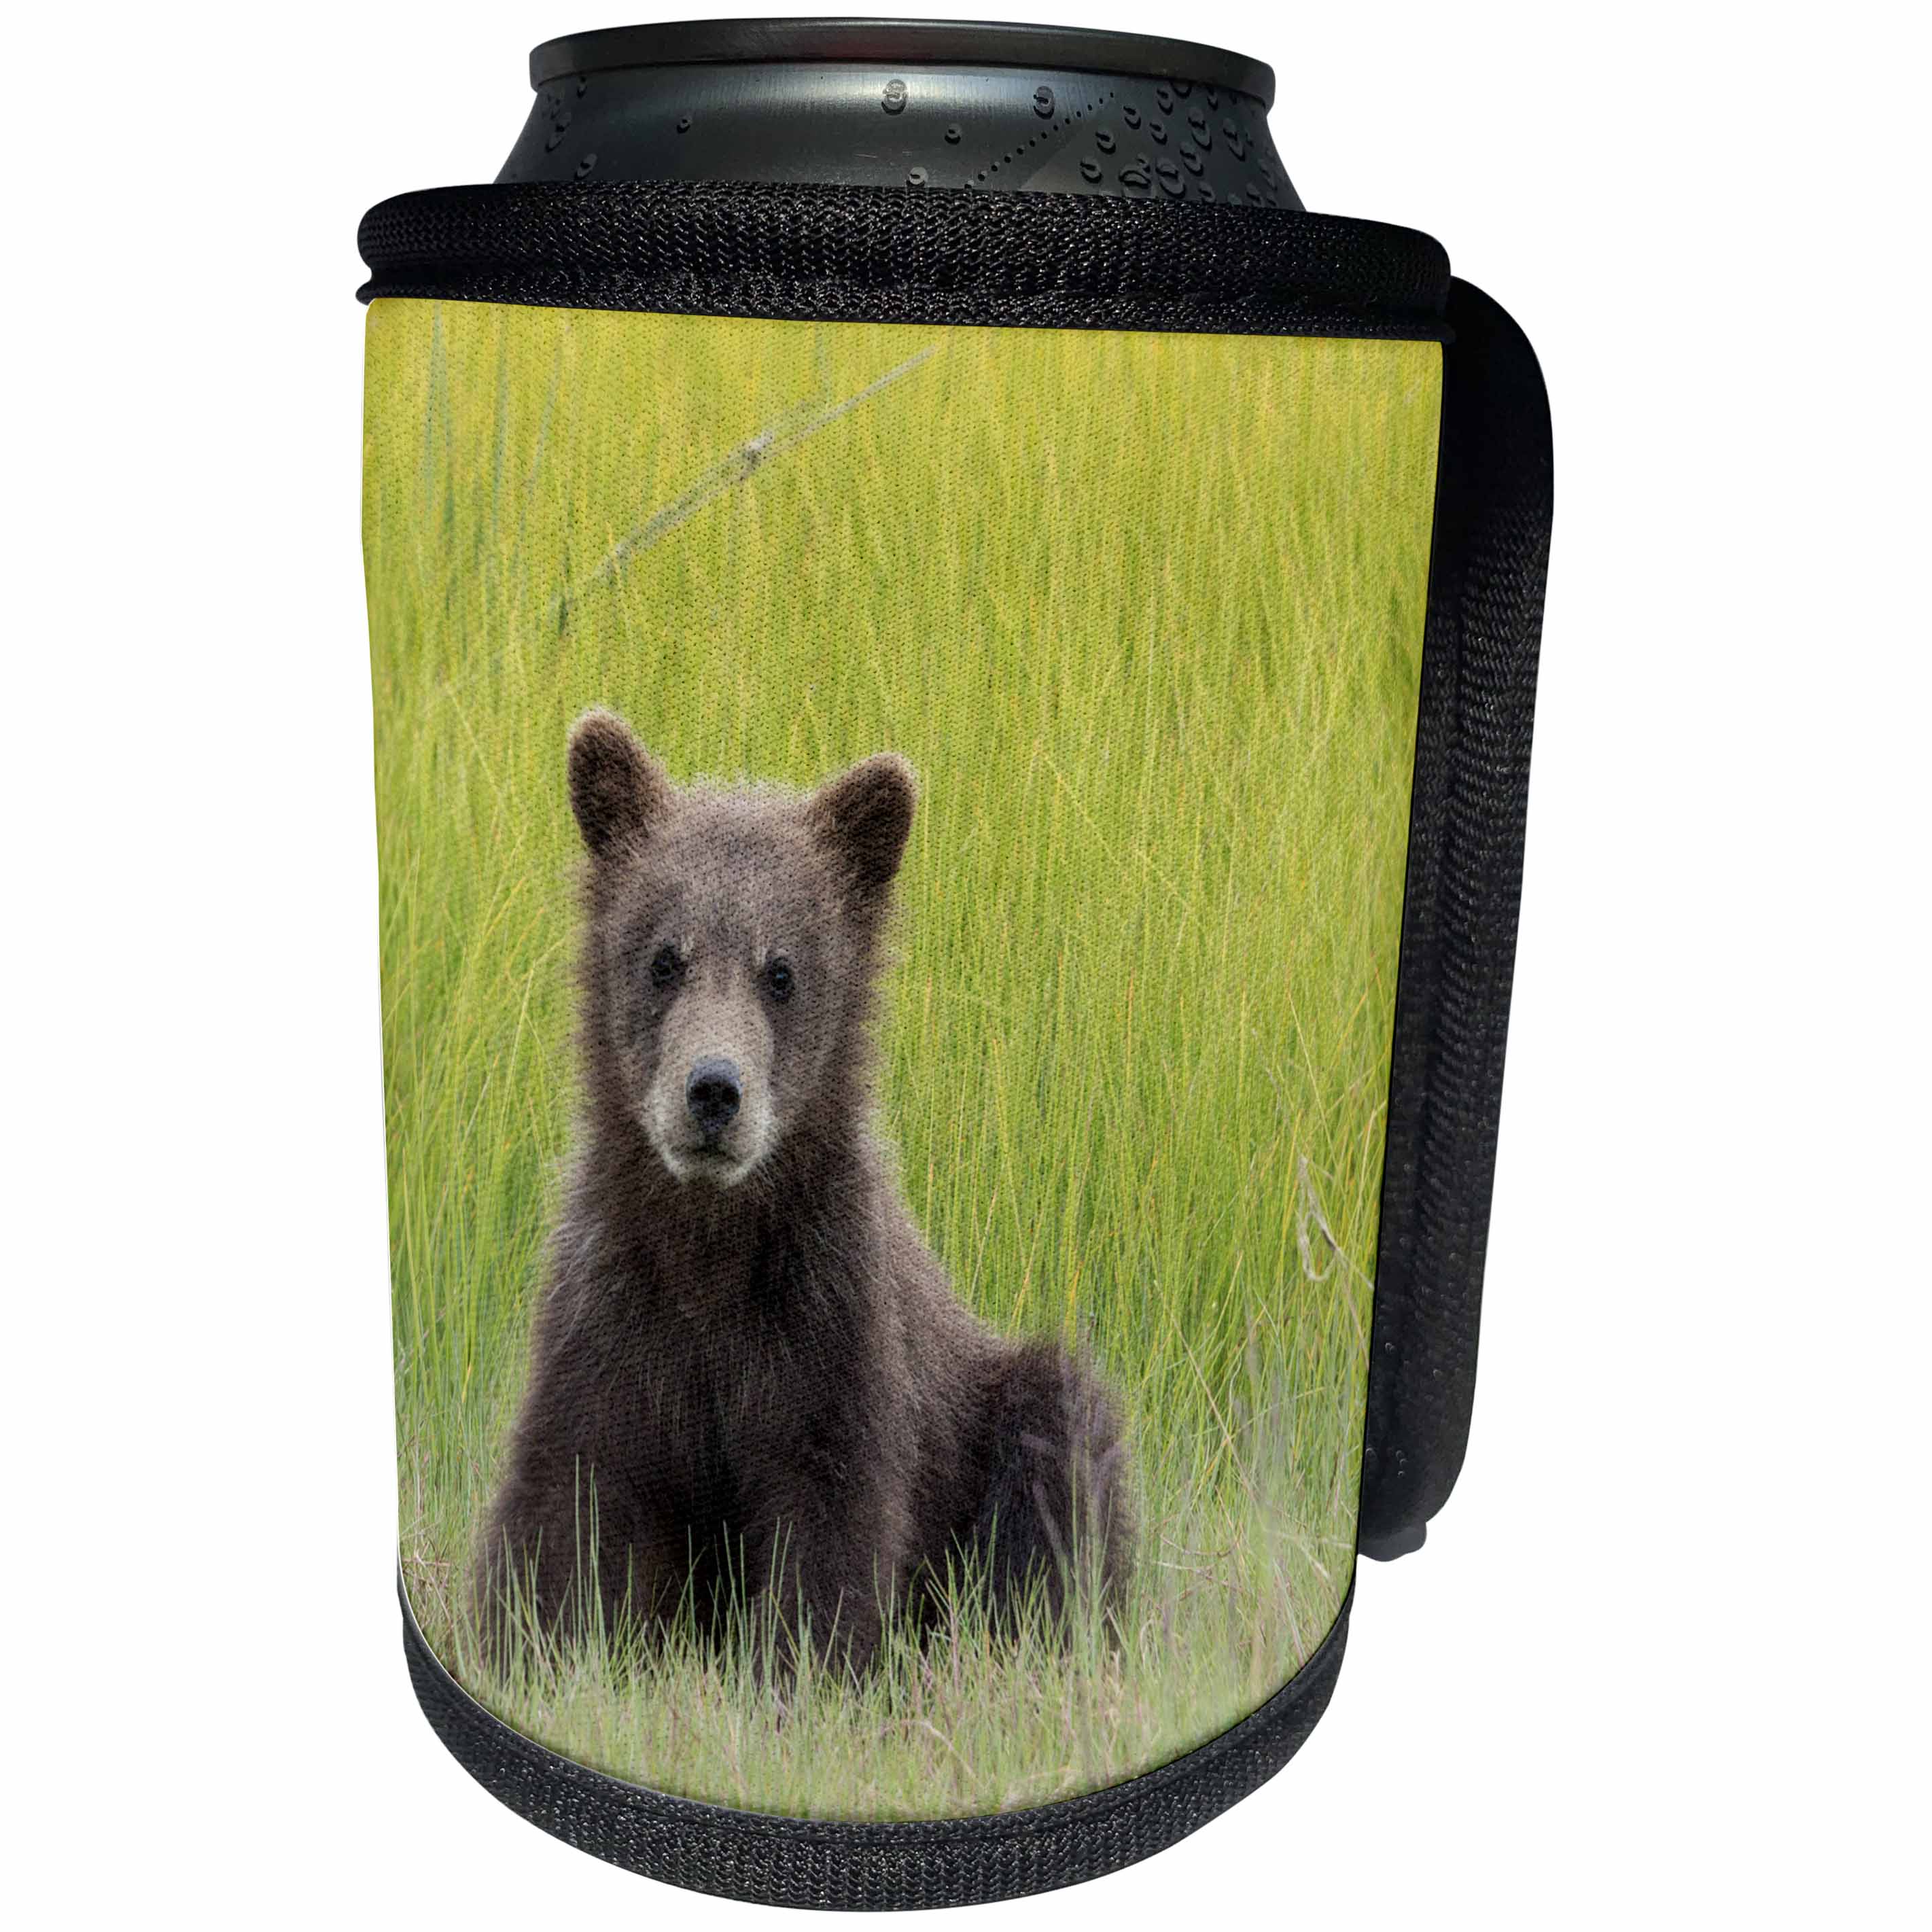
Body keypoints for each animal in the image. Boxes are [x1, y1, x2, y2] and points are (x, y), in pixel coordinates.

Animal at [472, 708, 1132, 1677]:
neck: (710, 1244)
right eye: (664, 958)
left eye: (780, 970)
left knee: (1059, 1459)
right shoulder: (615, 1317)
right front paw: (535, 1645)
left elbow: (828, 1520)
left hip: (994, 1410)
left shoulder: (822, 1328)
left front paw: (805, 1669)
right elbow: (567, 1504)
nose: (713, 1090)